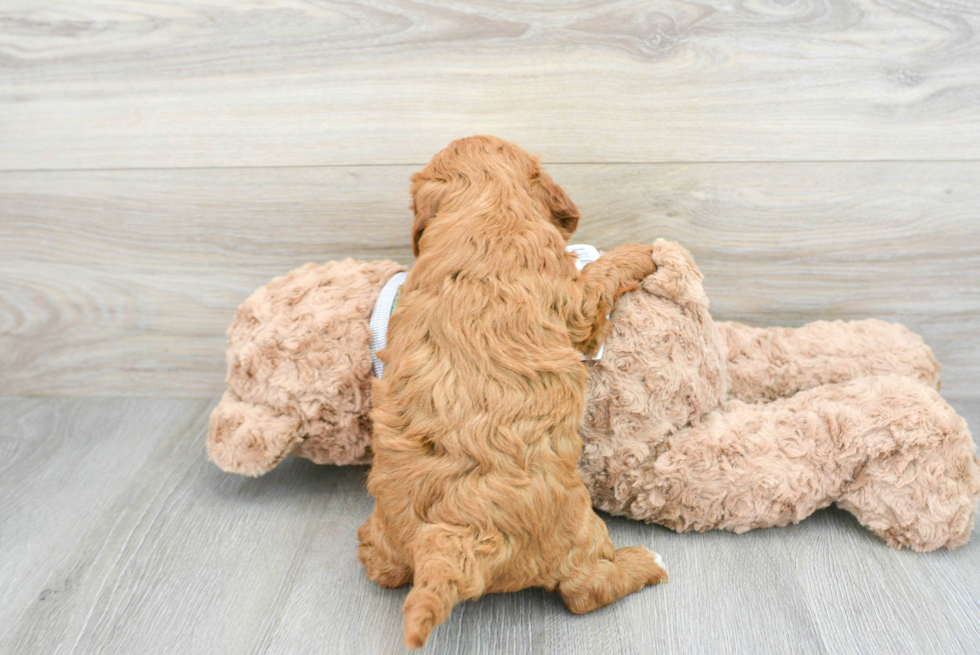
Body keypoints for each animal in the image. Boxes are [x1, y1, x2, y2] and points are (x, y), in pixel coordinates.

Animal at [356, 136, 668, 648]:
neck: (483, 205)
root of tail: (455, 537)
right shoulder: (574, 301)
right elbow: (600, 278)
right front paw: (641, 252)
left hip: (393, 530)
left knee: (384, 570)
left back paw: (368, 544)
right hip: (577, 527)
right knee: (584, 591)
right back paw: (646, 563)